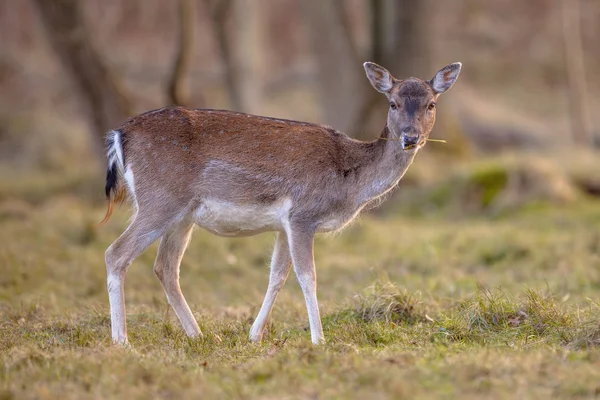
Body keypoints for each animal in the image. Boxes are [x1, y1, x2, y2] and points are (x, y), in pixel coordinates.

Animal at [101, 61, 462, 346]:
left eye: (431, 104)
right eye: (393, 103)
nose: (410, 137)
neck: (349, 182)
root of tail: (120, 134)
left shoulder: (283, 224)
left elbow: (277, 275)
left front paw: (254, 335)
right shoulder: (303, 214)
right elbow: (307, 275)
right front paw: (318, 340)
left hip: (182, 215)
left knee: (165, 266)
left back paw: (200, 334)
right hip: (159, 199)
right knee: (116, 253)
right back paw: (122, 340)